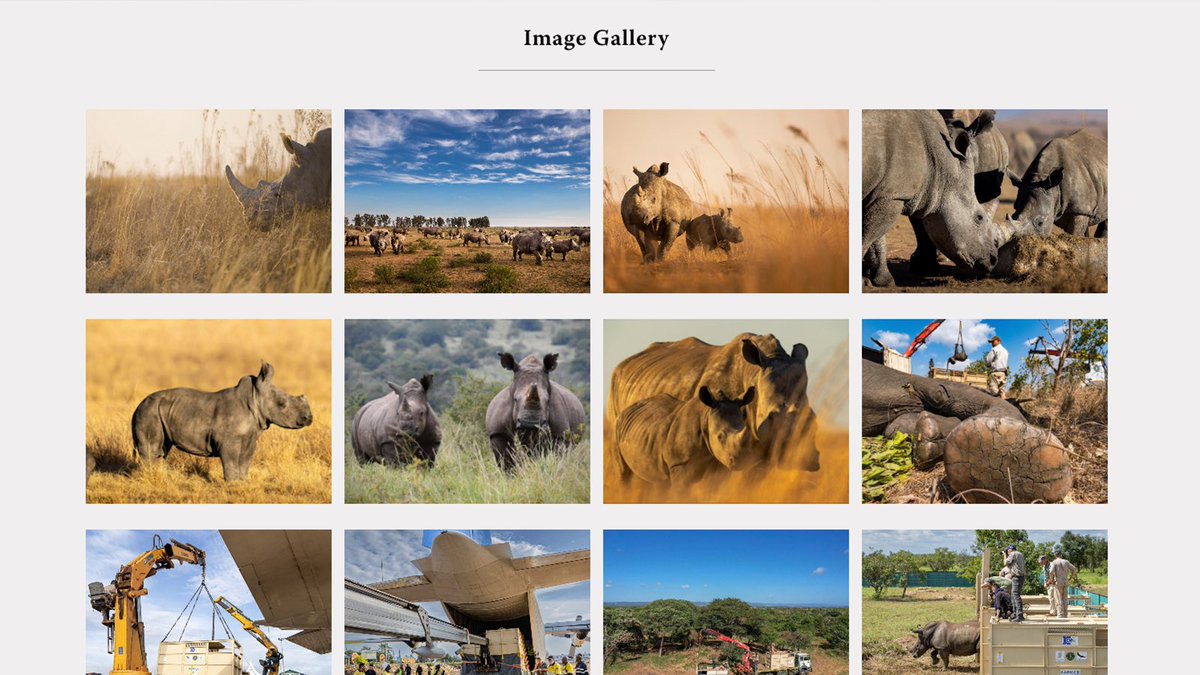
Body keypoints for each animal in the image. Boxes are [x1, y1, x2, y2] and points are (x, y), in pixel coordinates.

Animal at [131, 362, 313, 482]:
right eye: (282, 404)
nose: (309, 418)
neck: (254, 398)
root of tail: (138, 405)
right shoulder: (228, 439)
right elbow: (231, 460)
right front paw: (231, 484)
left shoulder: (250, 437)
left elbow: (245, 460)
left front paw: (242, 483)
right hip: (148, 411)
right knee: (153, 448)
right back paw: (152, 477)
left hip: (157, 411)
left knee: (163, 448)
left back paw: (161, 476)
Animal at [614, 385, 757, 483]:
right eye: (719, 437)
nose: (743, 460)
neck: (706, 416)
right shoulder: (678, 463)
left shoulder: (718, 464)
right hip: (616, 428)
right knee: (623, 475)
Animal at [862, 110, 1002, 286]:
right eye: (979, 218)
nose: (993, 260)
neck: (941, 164)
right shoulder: (891, 195)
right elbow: (869, 235)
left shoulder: (881, 193)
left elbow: (873, 237)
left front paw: (879, 281)